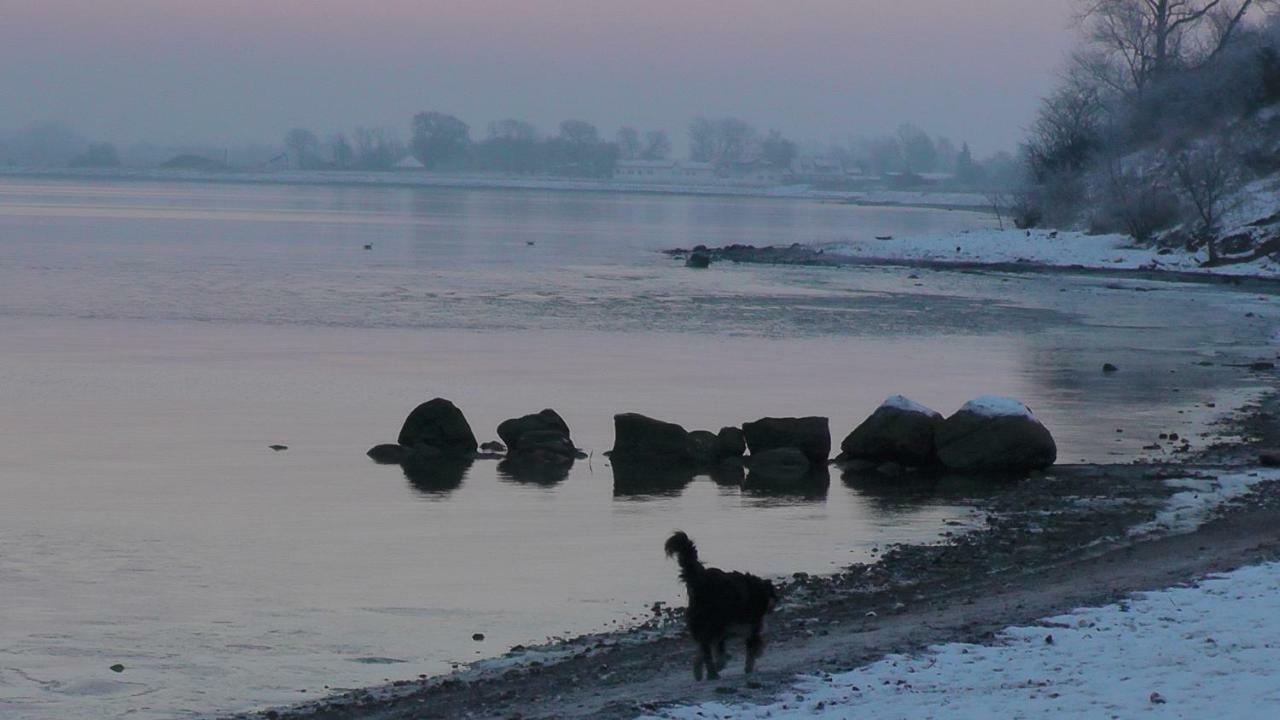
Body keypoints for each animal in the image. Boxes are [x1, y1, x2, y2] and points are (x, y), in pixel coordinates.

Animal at [665, 527, 773, 676]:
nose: (771, 608)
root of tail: (701, 579)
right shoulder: (748, 629)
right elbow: (749, 652)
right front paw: (748, 667)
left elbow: (704, 652)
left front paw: (698, 668)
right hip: (714, 622)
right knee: (709, 652)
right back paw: (713, 673)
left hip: (704, 623)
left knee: (705, 649)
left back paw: (707, 672)